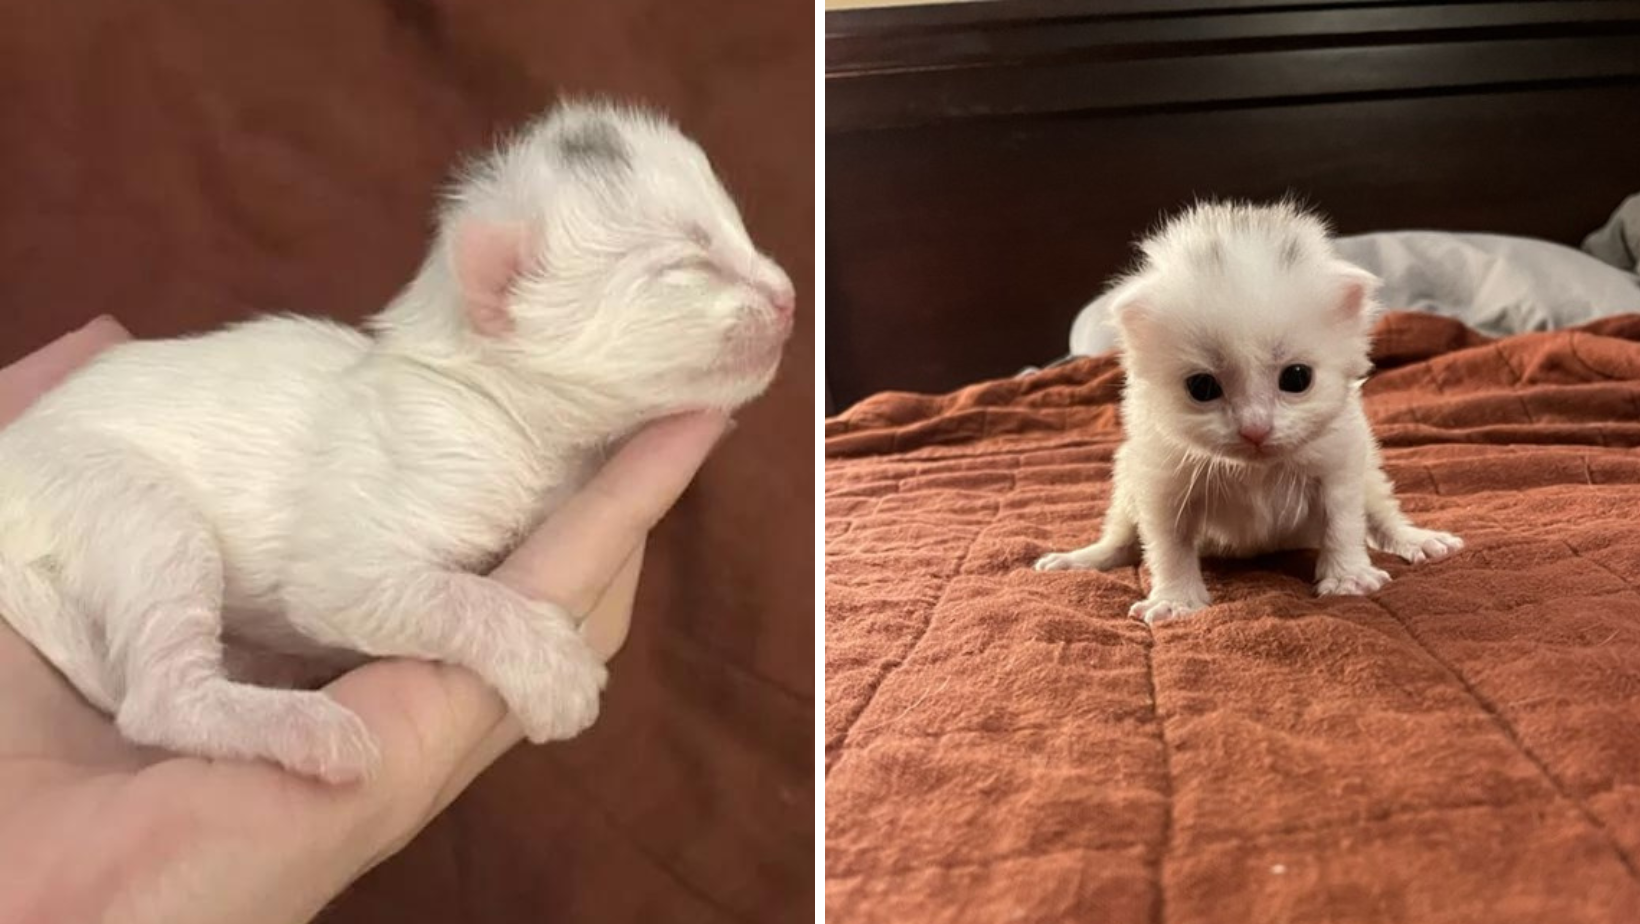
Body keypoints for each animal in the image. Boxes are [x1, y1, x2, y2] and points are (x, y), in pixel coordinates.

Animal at [0, 99, 793, 781]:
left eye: (737, 232)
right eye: (686, 264)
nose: (787, 296)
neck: (500, 409)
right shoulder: (397, 501)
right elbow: (444, 594)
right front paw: (552, 671)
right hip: (127, 504)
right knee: (158, 699)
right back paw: (301, 726)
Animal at [1036, 198, 1462, 626]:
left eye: (1296, 378)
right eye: (1202, 387)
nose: (1255, 430)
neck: (1254, 468)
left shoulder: (1340, 462)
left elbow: (1342, 521)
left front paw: (1348, 578)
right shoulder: (1159, 478)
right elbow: (1169, 544)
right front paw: (1175, 599)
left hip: (1369, 474)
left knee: (1379, 511)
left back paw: (1416, 539)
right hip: (1125, 481)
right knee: (1122, 538)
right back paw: (1082, 559)